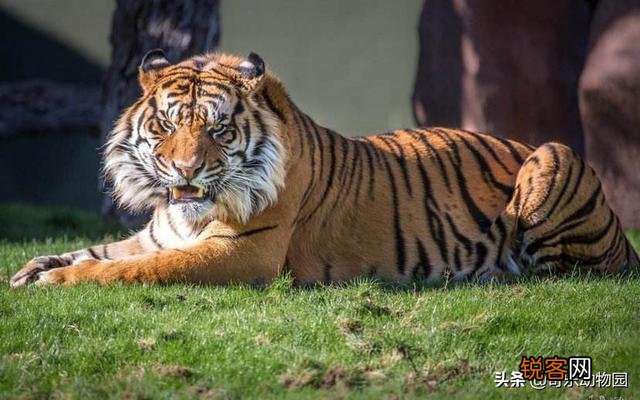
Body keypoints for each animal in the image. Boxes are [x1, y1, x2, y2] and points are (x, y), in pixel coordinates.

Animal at [10, 50, 638, 287]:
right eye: (165, 126)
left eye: (218, 129)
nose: (185, 171)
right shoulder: (157, 234)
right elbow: (99, 250)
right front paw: (33, 266)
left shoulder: (243, 253)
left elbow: (134, 270)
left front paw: (56, 280)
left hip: (553, 155)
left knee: (561, 271)